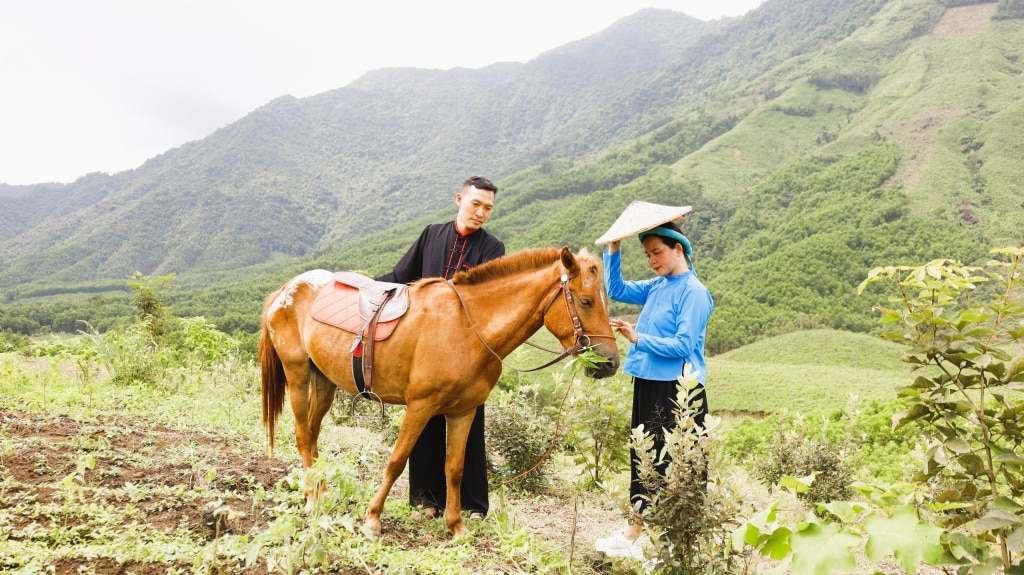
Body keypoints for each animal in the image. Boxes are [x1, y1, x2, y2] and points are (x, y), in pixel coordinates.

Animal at [260, 245, 618, 532]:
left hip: (324, 381)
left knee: (313, 435)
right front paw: (373, 518)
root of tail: (285, 290)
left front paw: (456, 525)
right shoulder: (420, 407)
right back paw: (311, 498)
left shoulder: (463, 412)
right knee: (303, 435)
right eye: (586, 301)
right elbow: (396, 460)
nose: (611, 362)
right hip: (297, 374)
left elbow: (454, 468)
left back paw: (320, 490)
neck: (466, 327)